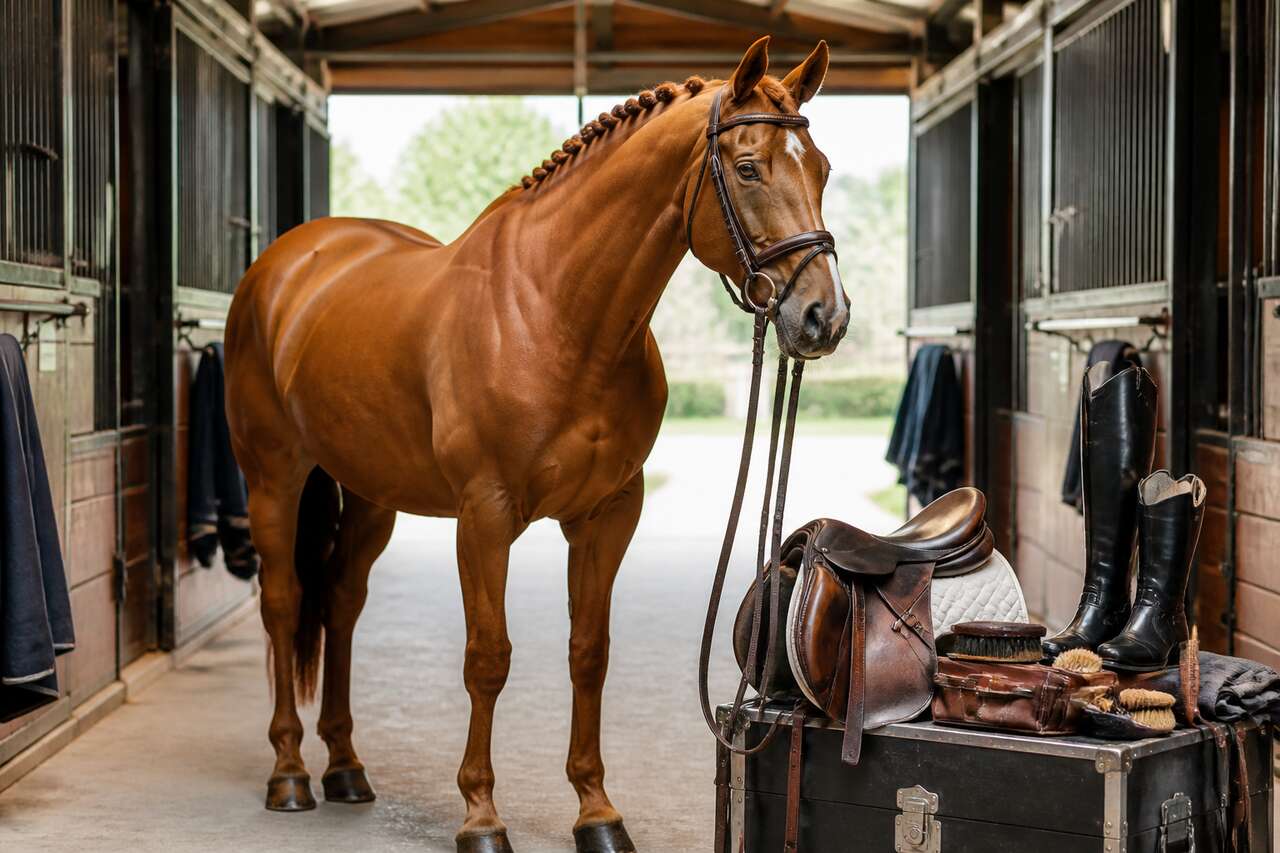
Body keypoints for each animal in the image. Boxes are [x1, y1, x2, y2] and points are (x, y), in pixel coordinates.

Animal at [224, 36, 848, 853]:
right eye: (748, 168)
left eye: (823, 168)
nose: (823, 316)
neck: (555, 313)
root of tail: (284, 265)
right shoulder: (485, 516)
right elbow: (488, 658)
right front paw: (481, 815)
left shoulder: (608, 515)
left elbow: (590, 654)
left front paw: (597, 811)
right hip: (274, 477)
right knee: (283, 601)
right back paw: (290, 773)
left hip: (368, 495)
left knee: (341, 604)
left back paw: (347, 768)